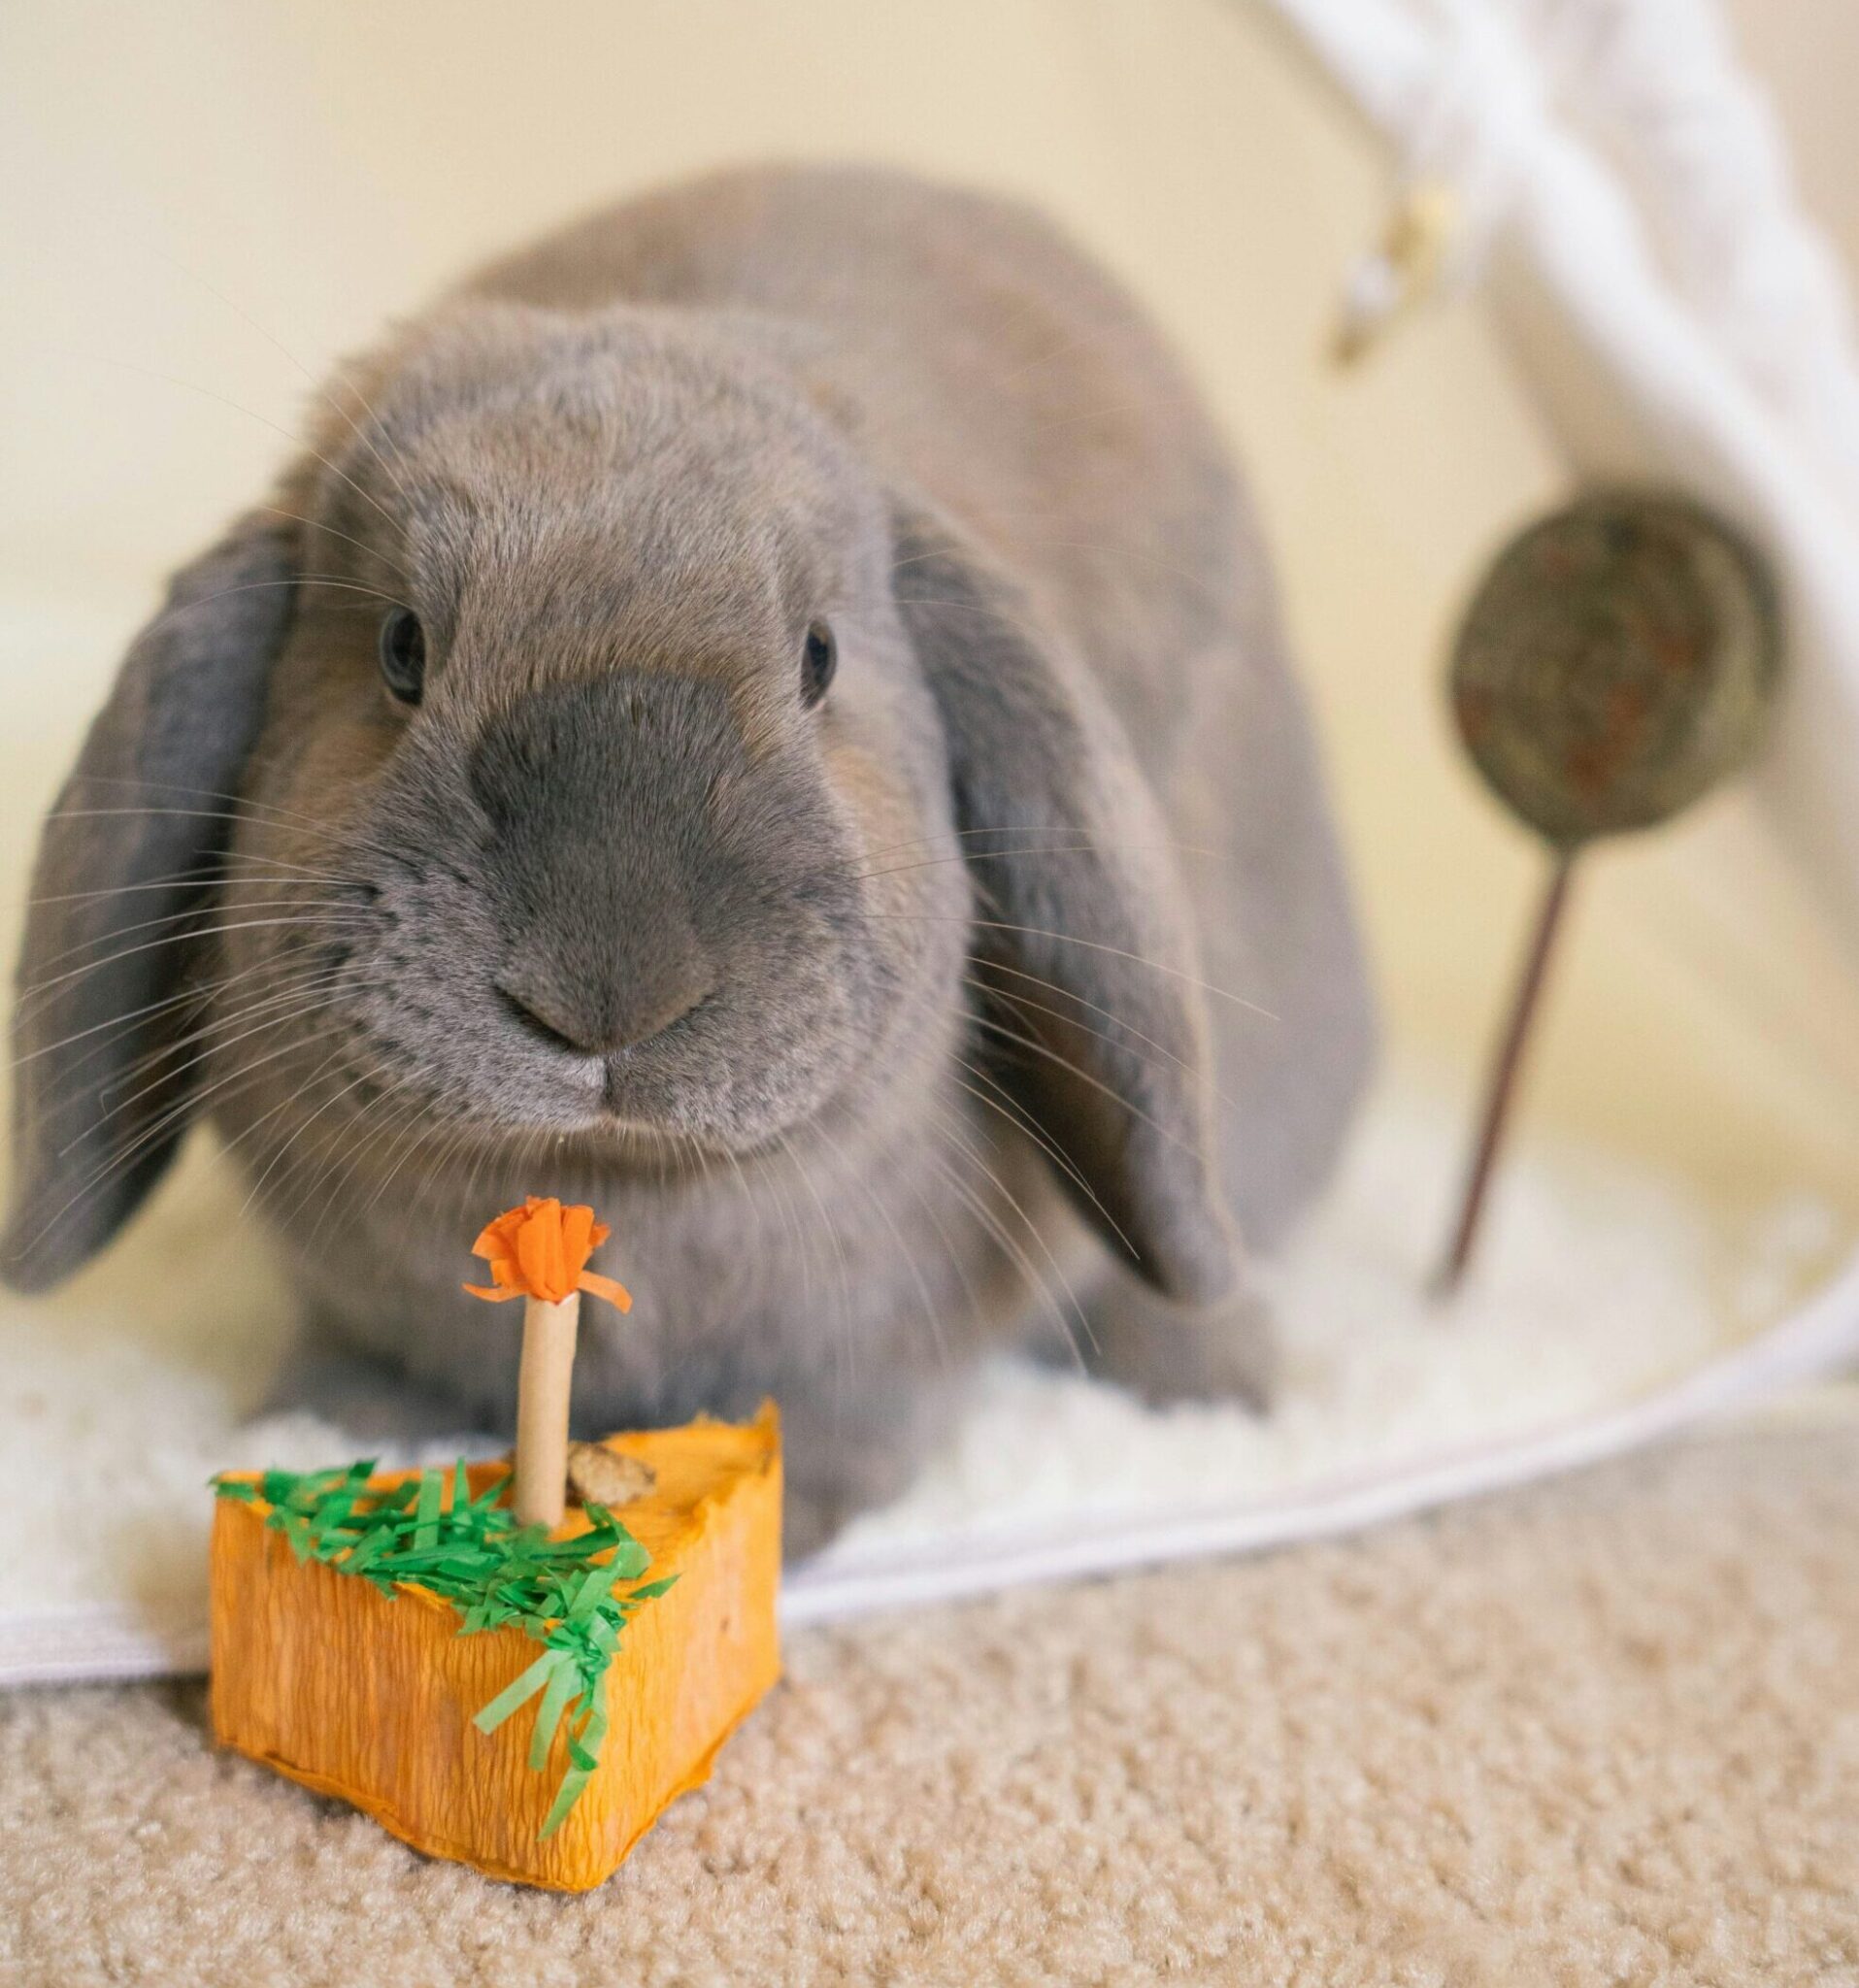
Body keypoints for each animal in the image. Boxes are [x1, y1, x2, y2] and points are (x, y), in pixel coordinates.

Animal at [3, 163, 1373, 1553]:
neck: (615, 1182)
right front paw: (317, 1431)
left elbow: (839, 1414)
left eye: (821, 658)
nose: (608, 989)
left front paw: (788, 1510)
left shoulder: (869, 1351)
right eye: (400, 648)